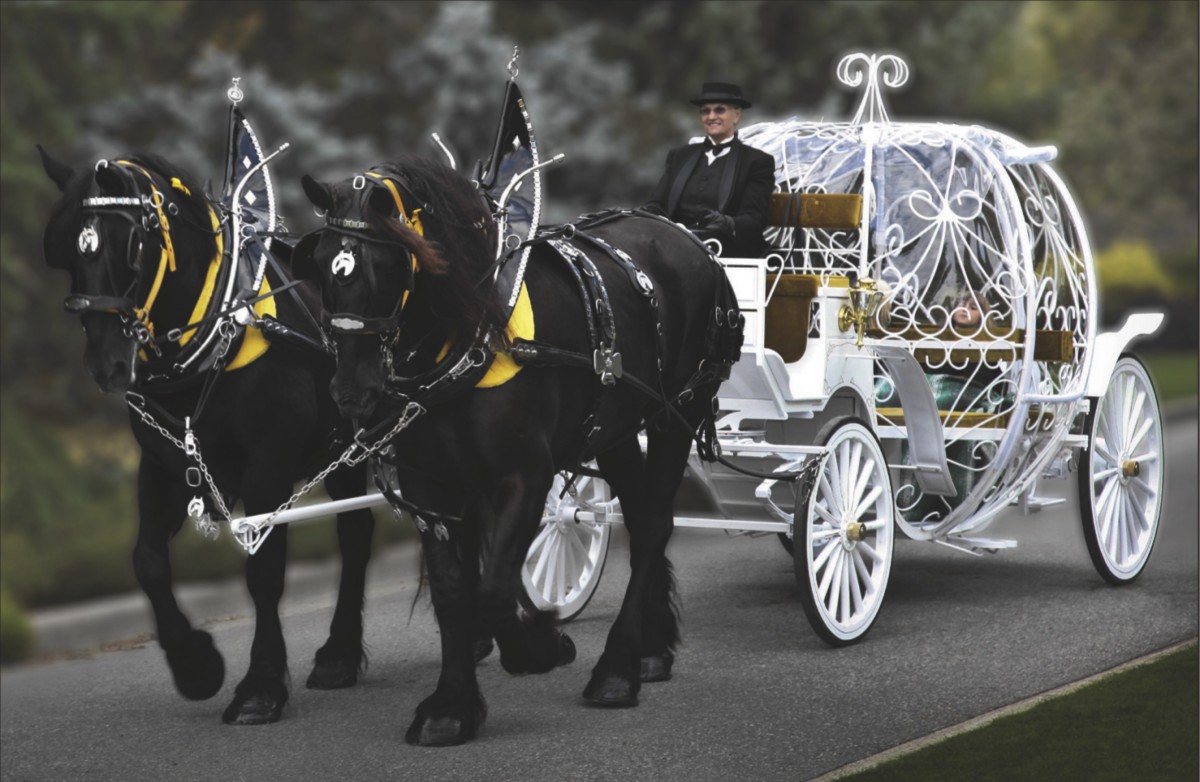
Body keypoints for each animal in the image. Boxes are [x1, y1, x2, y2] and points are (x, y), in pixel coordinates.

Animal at [39, 148, 374, 729]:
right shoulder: (164, 466)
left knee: (366, 533)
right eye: (64, 252)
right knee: (357, 533)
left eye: (132, 245)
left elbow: (263, 571)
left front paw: (260, 686)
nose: (107, 365)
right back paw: (339, 656)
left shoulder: (268, 466)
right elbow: (147, 561)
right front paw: (196, 665)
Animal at [295, 154, 734, 743]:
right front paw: (452, 706)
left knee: (655, 525)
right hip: (616, 427)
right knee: (644, 520)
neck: (471, 335)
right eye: (322, 265)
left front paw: (540, 645)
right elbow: (454, 592)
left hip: (675, 413)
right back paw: (649, 651)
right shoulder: (429, 485)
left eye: (388, 265)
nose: (349, 391)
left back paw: (616, 669)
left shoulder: (524, 476)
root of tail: (685, 235)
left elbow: (495, 590)